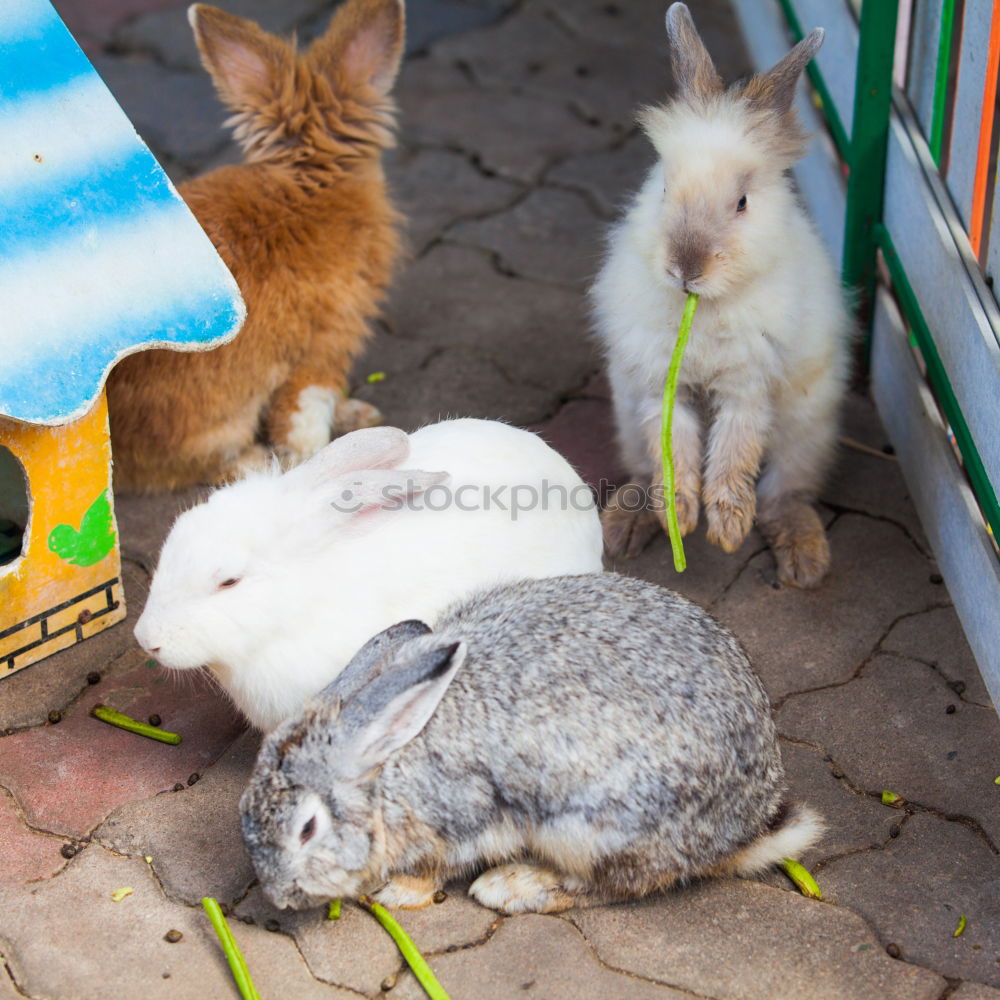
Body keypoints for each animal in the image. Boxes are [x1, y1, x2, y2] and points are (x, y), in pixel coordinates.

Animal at [107, 0, 404, 492]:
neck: (314, 178)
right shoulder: (323, 345)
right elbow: (305, 414)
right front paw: (316, 458)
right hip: (218, 424)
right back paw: (258, 463)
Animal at [240, 572, 820, 916]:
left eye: (307, 829)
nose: (277, 896)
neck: (383, 767)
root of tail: (747, 829)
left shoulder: (466, 819)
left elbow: (439, 866)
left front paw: (397, 893)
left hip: (594, 829)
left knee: (613, 886)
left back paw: (512, 887)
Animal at [592, 3, 852, 588]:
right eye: (665, 187)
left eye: (741, 202)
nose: (685, 267)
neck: (703, 309)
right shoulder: (660, 387)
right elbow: (675, 454)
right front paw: (682, 514)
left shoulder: (747, 386)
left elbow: (735, 453)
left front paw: (728, 529)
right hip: (625, 415)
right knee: (643, 469)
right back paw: (626, 526)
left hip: (807, 428)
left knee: (784, 494)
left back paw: (804, 560)